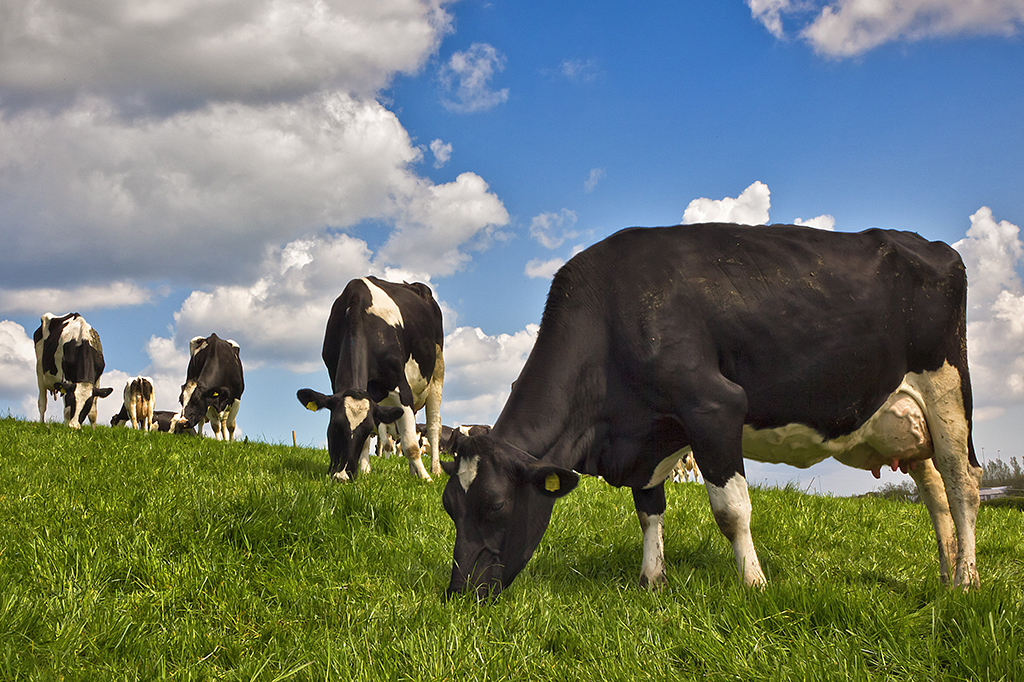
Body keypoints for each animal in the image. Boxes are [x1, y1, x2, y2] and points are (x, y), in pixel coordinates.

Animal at [297, 276, 445, 481]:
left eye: (366, 430)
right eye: (334, 426)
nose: (341, 476)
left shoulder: (402, 388)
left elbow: (410, 445)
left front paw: (426, 479)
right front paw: (365, 471)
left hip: (438, 369)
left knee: (433, 426)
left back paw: (434, 470)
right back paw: (411, 472)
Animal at [441, 223, 982, 599]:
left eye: (496, 506)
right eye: (449, 506)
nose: (459, 593)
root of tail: (932, 245)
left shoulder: (714, 407)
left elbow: (731, 511)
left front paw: (755, 585)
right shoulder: (653, 431)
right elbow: (649, 510)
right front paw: (651, 581)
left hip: (948, 391)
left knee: (963, 486)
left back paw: (967, 582)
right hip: (905, 423)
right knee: (935, 494)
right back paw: (946, 574)